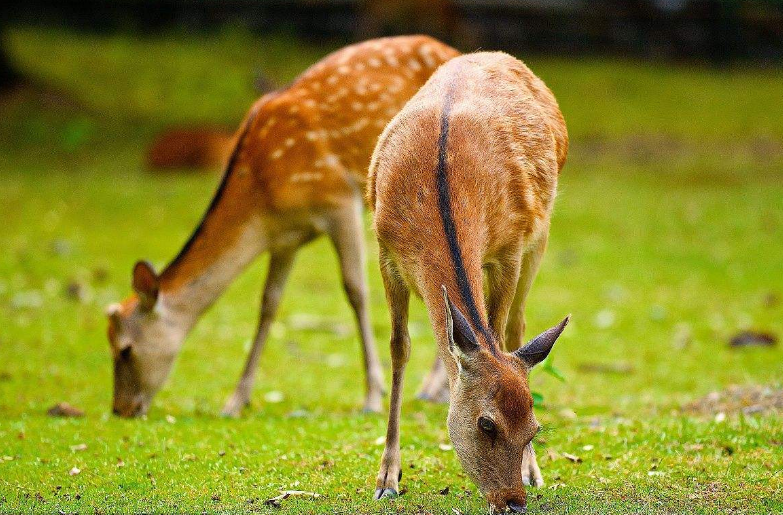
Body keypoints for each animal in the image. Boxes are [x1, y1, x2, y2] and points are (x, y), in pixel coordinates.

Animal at [104, 35, 460, 420]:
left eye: (124, 349)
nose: (120, 409)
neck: (263, 191)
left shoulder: (339, 198)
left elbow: (356, 291)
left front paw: (371, 396)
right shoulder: (284, 237)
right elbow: (268, 303)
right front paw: (235, 401)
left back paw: (433, 388)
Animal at [368, 52, 568, 512]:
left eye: (534, 427)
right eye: (486, 424)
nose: (512, 502)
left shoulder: (509, 248)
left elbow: (496, 332)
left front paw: (530, 469)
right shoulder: (386, 253)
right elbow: (399, 348)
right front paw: (387, 478)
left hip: (540, 238)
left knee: (516, 328)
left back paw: (534, 473)